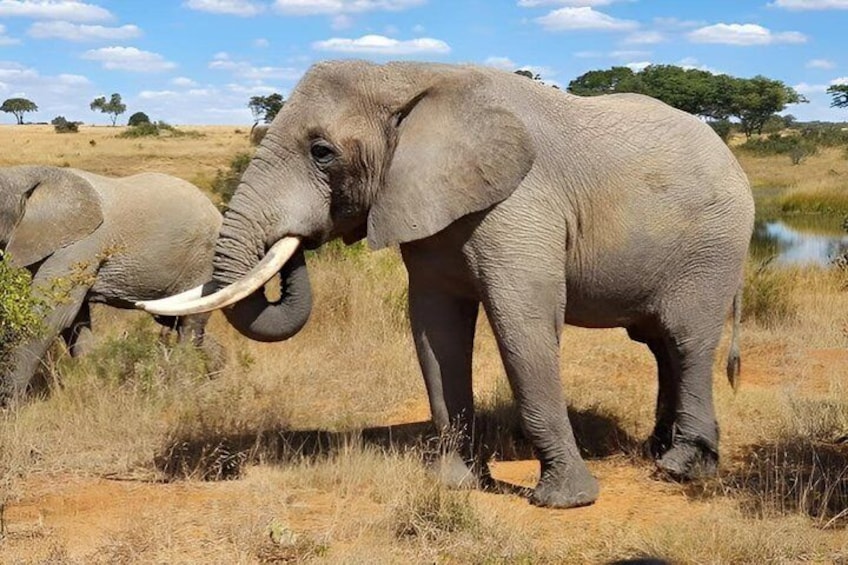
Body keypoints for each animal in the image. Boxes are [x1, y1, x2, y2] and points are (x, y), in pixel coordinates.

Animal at [1, 165, 223, 402]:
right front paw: (90, 380)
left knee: (190, 323)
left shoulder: (79, 246)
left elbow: (53, 316)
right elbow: (75, 321)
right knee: (174, 320)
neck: (30, 174)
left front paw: (10, 404)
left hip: (203, 260)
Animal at [139, 61, 755, 508]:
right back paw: (659, 450)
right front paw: (458, 485)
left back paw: (681, 469)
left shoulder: (521, 202)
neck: (406, 75)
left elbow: (523, 324)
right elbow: (435, 331)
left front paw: (562, 502)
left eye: (322, 153)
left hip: (714, 246)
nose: (297, 243)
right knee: (658, 345)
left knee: (685, 340)